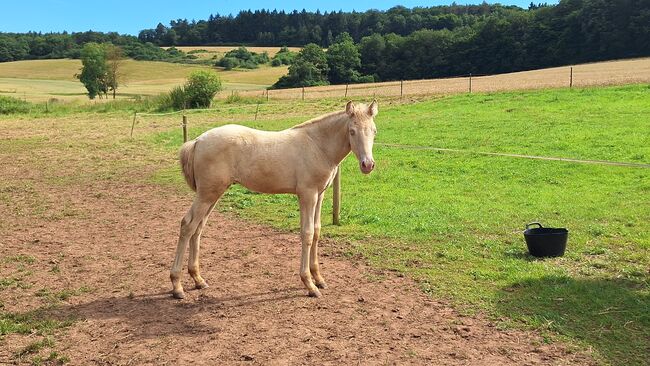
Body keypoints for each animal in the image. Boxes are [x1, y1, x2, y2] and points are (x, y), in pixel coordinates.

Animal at [170, 99, 378, 298]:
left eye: (374, 131)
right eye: (352, 131)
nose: (367, 165)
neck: (317, 146)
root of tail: (197, 141)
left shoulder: (319, 195)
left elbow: (317, 231)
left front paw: (319, 278)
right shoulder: (307, 194)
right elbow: (307, 234)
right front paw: (309, 284)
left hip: (213, 194)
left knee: (198, 228)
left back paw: (198, 279)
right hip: (207, 194)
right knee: (187, 225)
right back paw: (177, 286)